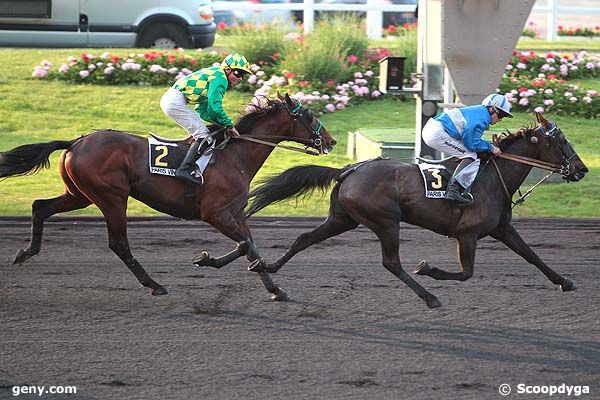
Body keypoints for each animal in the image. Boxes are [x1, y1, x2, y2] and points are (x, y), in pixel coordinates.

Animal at [0, 94, 338, 300]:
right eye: (309, 115)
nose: (331, 141)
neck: (234, 157)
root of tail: (76, 141)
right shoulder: (214, 214)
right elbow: (244, 245)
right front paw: (205, 259)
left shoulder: (235, 213)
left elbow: (251, 247)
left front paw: (275, 288)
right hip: (111, 197)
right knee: (118, 243)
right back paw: (154, 285)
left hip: (79, 194)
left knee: (40, 207)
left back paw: (26, 252)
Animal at [246, 112, 588, 310]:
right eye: (561, 141)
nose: (582, 169)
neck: (492, 177)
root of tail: (350, 169)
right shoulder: (467, 234)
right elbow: (466, 273)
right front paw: (427, 268)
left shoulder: (502, 228)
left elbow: (532, 255)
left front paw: (564, 281)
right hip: (386, 221)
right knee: (391, 263)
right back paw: (429, 296)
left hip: (343, 219)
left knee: (304, 238)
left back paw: (268, 269)